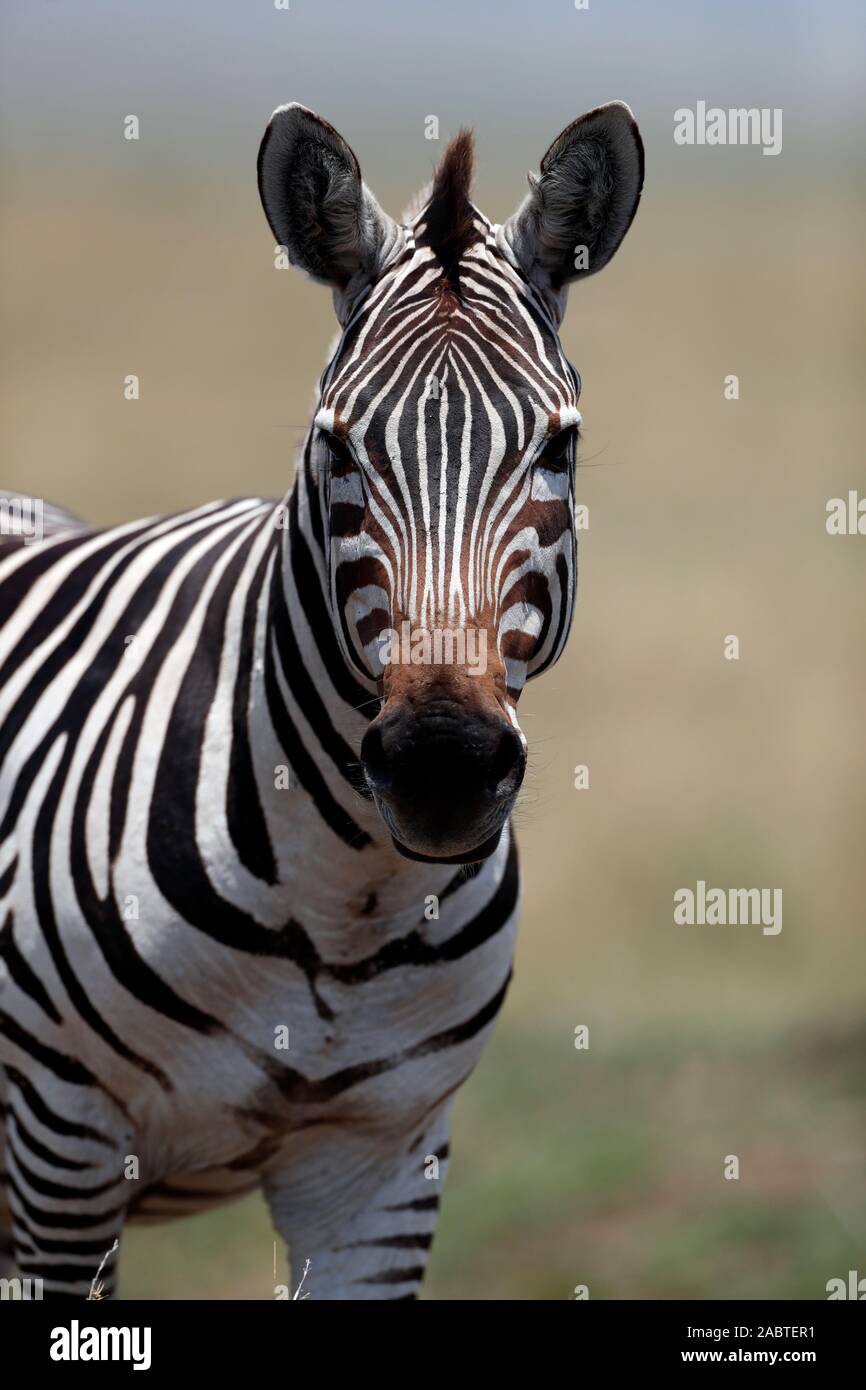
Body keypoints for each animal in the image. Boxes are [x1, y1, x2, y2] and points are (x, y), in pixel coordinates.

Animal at [0, 101, 643, 1300]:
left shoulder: (382, 1170)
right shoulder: (61, 1156)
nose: (442, 762)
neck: (350, 903)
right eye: (338, 443)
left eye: (560, 443)